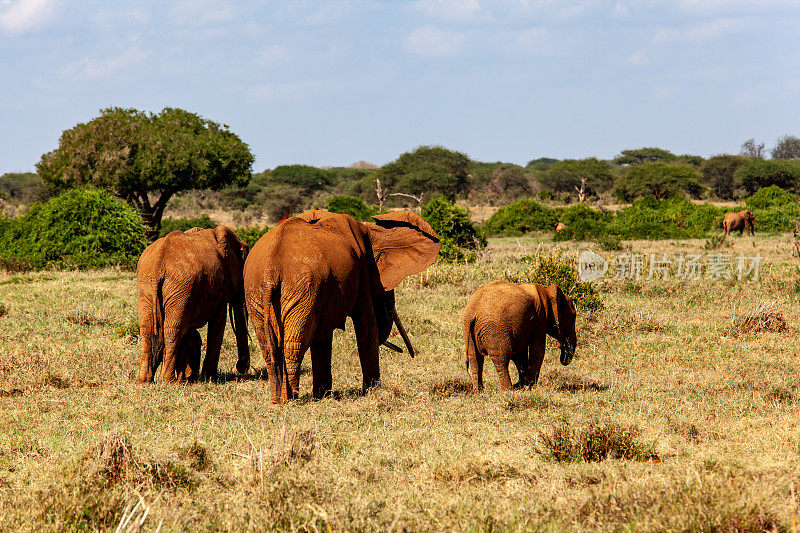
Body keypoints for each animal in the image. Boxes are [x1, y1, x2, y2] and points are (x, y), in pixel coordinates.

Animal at [136, 224, 250, 382]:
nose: (241, 367)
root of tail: (158, 263)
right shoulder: (221, 284)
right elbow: (218, 322)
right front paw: (210, 378)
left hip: (147, 285)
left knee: (147, 329)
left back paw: (145, 382)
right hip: (179, 286)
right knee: (173, 329)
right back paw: (169, 382)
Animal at [244, 210, 440, 402]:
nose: (411, 355)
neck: (369, 229)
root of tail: (271, 269)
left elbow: (323, 335)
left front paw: (323, 395)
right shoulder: (361, 270)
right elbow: (367, 324)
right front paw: (373, 392)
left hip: (260, 291)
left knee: (269, 346)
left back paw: (277, 399)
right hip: (300, 289)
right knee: (293, 344)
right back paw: (288, 400)